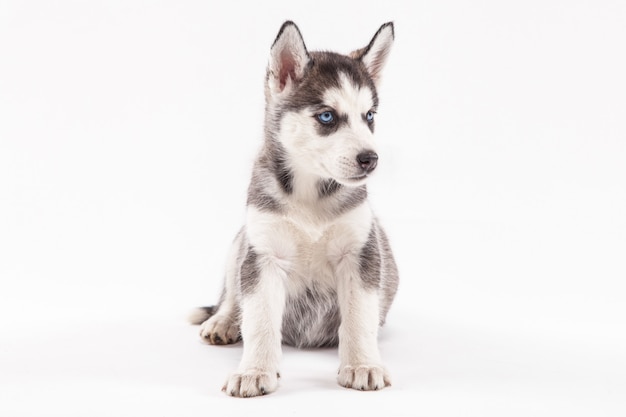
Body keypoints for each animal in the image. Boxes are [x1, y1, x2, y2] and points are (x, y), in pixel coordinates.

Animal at [188, 20, 398, 396]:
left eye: (370, 116)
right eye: (327, 117)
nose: (370, 159)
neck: (310, 195)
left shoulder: (362, 253)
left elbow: (359, 317)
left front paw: (363, 364)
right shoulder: (263, 254)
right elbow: (259, 320)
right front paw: (254, 371)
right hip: (240, 242)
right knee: (230, 293)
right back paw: (223, 320)